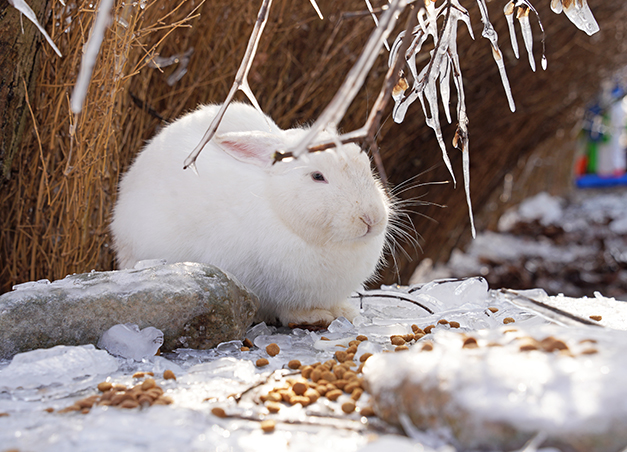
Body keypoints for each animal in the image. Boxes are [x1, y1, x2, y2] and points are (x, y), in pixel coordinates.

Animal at [110, 103, 390, 324]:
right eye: (317, 177)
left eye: (366, 165)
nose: (371, 218)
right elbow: (288, 310)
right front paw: (314, 317)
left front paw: (345, 313)